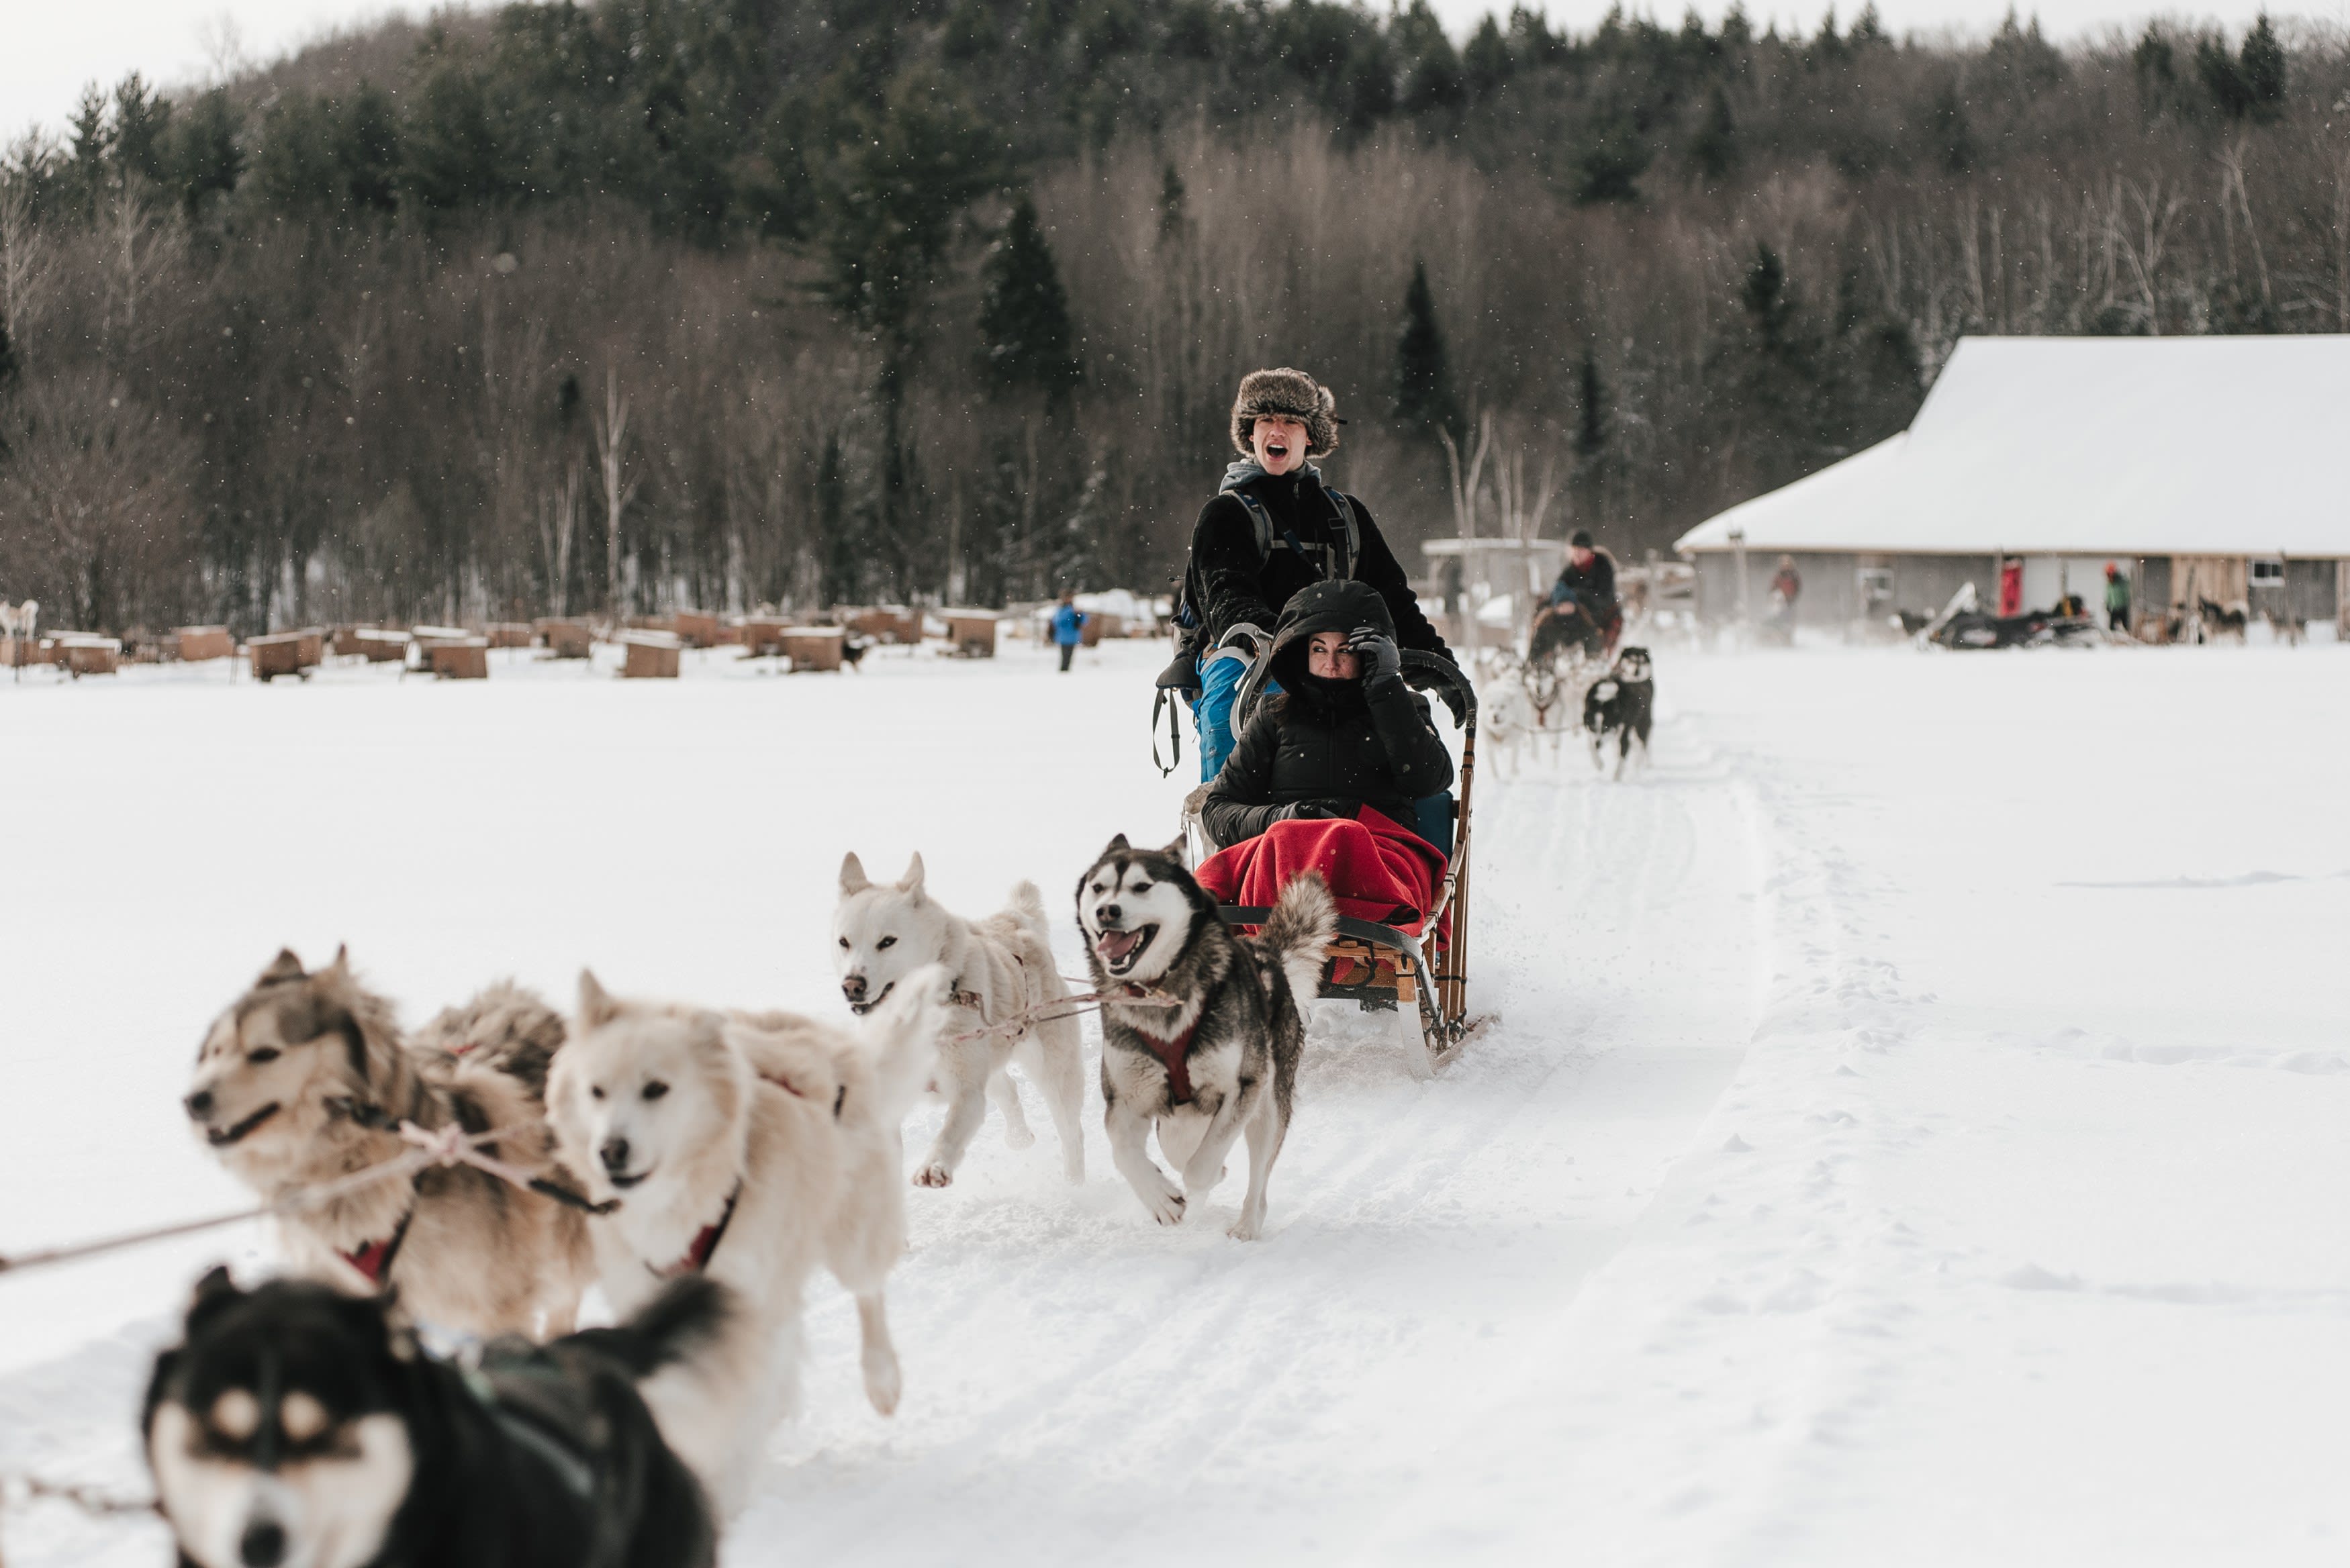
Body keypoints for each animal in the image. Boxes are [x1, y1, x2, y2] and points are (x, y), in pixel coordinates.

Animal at [547, 963, 945, 1514]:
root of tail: (834, 1047)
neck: (688, 1201)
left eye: (656, 1089)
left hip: (852, 1237)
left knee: (868, 1293)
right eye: (596, 1092)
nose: (610, 1150)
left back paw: (881, 1377)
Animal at [832, 860, 1086, 1189]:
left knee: (1071, 1130)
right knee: (1008, 1088)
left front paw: (934, 1165)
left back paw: (1075, 1181)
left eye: (887, 941)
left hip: (1053, 1073)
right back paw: (1019, 1138)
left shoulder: (966, 1091)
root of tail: (1015, 923)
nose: (852, 985)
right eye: (844, 942)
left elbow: (950, 1132)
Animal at [1076, 832, 1335, 1241]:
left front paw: (1204, 1181)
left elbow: (1200, 1167)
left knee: (1258, 1177)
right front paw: (1161, 1199)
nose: (1107, 911)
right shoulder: (1126, 1097)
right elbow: (1125, 1152)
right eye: (1098, 888)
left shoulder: (1244, 1086)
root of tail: (1265, 951)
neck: (1158, 994)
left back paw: (1246, 1224)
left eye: (1142, 886)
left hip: (1268, 1106)